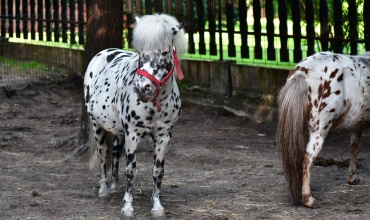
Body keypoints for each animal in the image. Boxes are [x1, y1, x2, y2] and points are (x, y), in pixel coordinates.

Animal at [85, 13, 186, 217]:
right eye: (140, 52)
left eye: (165, 52)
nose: (142, 88)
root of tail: (103, 53)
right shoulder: (133, 134)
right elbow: (131, 170)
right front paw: (127, 206)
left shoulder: (164, 136)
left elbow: (158, 171)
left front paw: (157, 206)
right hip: (97, 126)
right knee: (103, 154)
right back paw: (104, 189)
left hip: (117, 129)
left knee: (115, 151)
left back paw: (114, 185)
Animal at [276, 51, 370, 208]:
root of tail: (303, 71)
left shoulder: (358, 125)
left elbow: (355, 148)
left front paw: (352, 178)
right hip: (319, 131)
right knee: (308, 157)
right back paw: (308, 199)